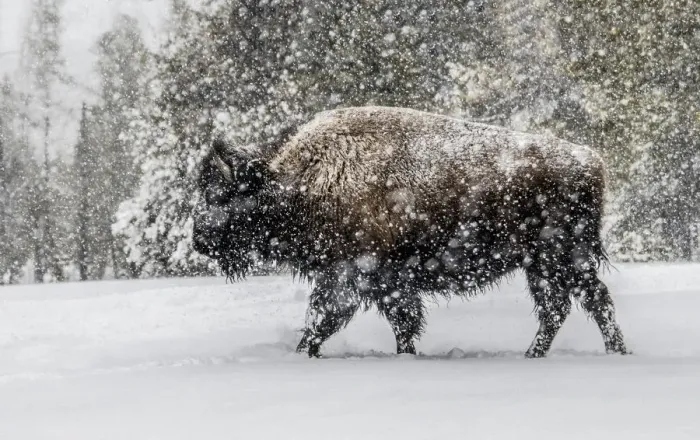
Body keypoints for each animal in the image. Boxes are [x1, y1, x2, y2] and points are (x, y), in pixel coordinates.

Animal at [193, 106, 627, 358]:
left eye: (221, 194)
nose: (198, 239)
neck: (298, 180)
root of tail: (591, 160)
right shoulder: (384, 282)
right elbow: (399, 320)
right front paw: (405, 354)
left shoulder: (351, 275)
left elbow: (325, 316)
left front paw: (303, 352)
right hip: (542, 265)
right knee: (561, 307)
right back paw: (538, 354)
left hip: (562, 257)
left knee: (591, 302)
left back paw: (613, 353)